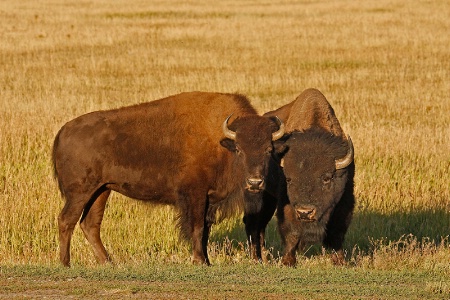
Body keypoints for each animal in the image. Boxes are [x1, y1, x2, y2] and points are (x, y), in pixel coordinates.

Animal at [53, 91, 284, 264]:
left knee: (90, 224)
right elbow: (197, 228)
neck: (221, 142)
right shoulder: (195, 195)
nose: (255, 182)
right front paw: (200, 261)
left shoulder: (208, 200)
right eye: (239, 150)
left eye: (268, 149)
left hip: (101, 190)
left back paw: (108, 262)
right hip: (80, 192)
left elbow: (206, 230)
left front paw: (207, 261)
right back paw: (66, 263)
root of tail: (64, 131)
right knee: (67, 220)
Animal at [264, 88, 356, 266]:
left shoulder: (345, 201)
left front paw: (340, 261)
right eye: (289, 179)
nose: (305, 212)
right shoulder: (286, 203)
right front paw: (288, 261)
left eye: (326, 178)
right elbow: (291, 231)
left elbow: (337, 232)